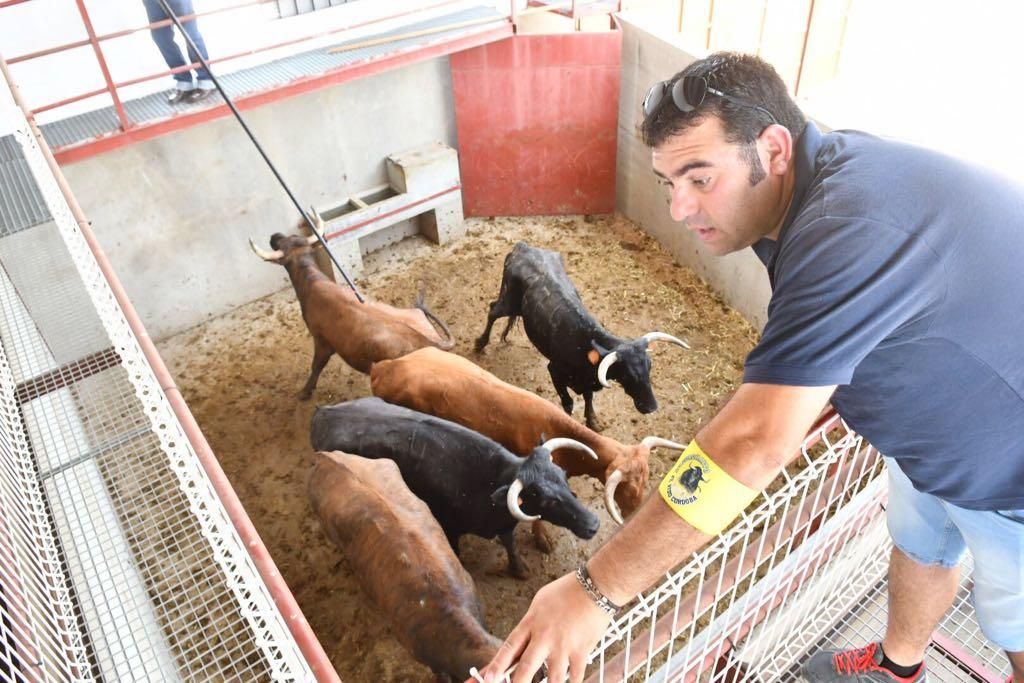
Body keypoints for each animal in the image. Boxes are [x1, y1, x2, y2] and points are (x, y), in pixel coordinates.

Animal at [247, 210, 452, 397]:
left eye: (281, 244)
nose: (274, 235)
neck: (311, 281)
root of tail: (430, 341)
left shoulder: (322, 341)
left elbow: (316, 365)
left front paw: (305, 392)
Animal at [309, 395, 598, 577]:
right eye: (545, 499)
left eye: (563, 476)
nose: (594, 523)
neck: (488, 480)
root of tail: (323, 413)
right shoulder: (450, 527)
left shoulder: (503, 524)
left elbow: (510, 543)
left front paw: (519, 569)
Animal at [471, 242, 688, 430]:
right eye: (627, 374)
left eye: (649, 368)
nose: (651, 407)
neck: (585, 346)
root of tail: (523, 247)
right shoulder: (555, 371)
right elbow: (568, 402)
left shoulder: (587, 383)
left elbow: (588, 399)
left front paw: (593, 422)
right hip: (507, 300)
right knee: (492, 311)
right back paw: (480, 344)